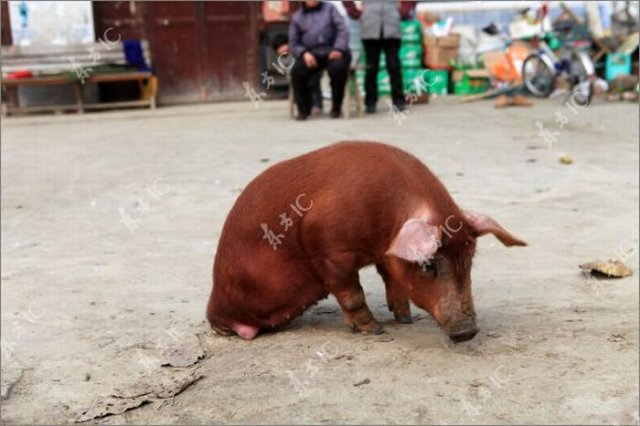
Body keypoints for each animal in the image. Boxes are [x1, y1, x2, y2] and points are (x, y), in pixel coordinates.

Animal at [206, 142, 524, 342]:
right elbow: (352, 293)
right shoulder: (328, 248)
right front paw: (376, 331)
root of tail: (212, 307)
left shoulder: (386, 256)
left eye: (469, 261)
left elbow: (394, 282)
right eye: (428, 265)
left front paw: (405, 320)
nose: (467, 332)